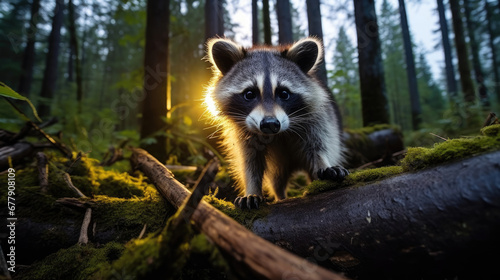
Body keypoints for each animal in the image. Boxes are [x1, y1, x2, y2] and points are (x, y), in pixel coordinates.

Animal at [203, 36, 348, 208]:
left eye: (284, 93)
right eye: (249, 94)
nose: (270, 124)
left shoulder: (318, 119)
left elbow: (319, 144)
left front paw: (324, 163)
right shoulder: (243, 134)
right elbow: (249, 162)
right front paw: (252, 190)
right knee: (276, 180)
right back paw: (280, 196)